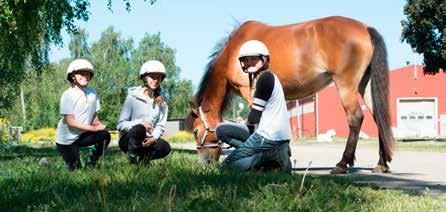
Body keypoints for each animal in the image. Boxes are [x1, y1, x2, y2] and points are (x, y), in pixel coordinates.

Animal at [185, 16, 394, 172]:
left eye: (196, 131)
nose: (203, 163)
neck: (235, 53)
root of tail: (365, 28)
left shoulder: (250, 92)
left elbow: (257, 125)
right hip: (364, 85)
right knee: (378, 118)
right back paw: (381, 164)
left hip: (346, 84)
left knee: (356, 118)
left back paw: (342, 164)